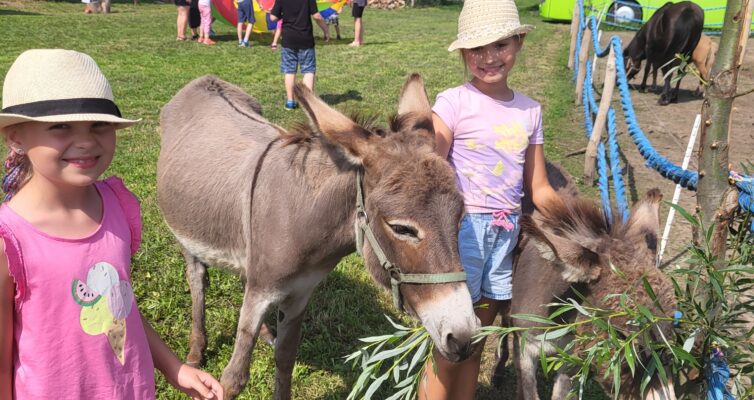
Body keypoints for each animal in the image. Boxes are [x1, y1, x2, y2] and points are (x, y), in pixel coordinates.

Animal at [156, 74, 478, 396]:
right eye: (402, 229)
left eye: (460, 218)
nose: (464, 339)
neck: (304, 219)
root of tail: (204, 80)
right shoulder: (261, 293)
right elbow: (234, 378)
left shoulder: (299, 293)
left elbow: (285, 357)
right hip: (186, 234)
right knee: (197, 280)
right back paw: (196, 350)